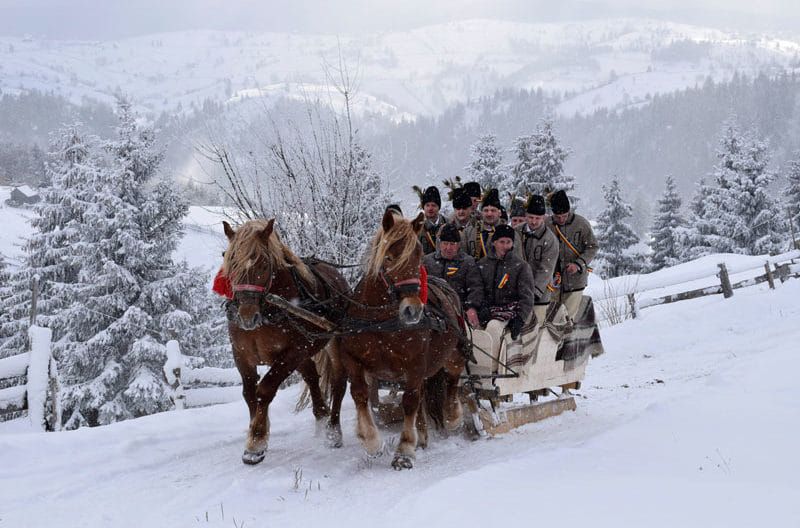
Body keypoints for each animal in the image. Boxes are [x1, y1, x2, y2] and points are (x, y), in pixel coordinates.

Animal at [223, 218, 352, 462]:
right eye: (230, 261)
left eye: (264, 264)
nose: (246, 317)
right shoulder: (242, 354)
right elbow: (249, 394)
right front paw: (259, 430)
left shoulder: (293, 351)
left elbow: (265, 389)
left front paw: (256, 441)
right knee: (311, 375)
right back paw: (321, 415)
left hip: (333, 341)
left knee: (338, 382)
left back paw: (333, 432)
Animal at [332, 210, 468, 470]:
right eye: (388, 258)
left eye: (418, 257)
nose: (412, 310)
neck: (381, 321)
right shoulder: (353, 360)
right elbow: (360, 395)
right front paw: (371, 441)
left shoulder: (414, 365)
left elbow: (409, 402)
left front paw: (404, 450)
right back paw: (423, 436)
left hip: (453, 353)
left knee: (453, 379)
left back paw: (453, 415)